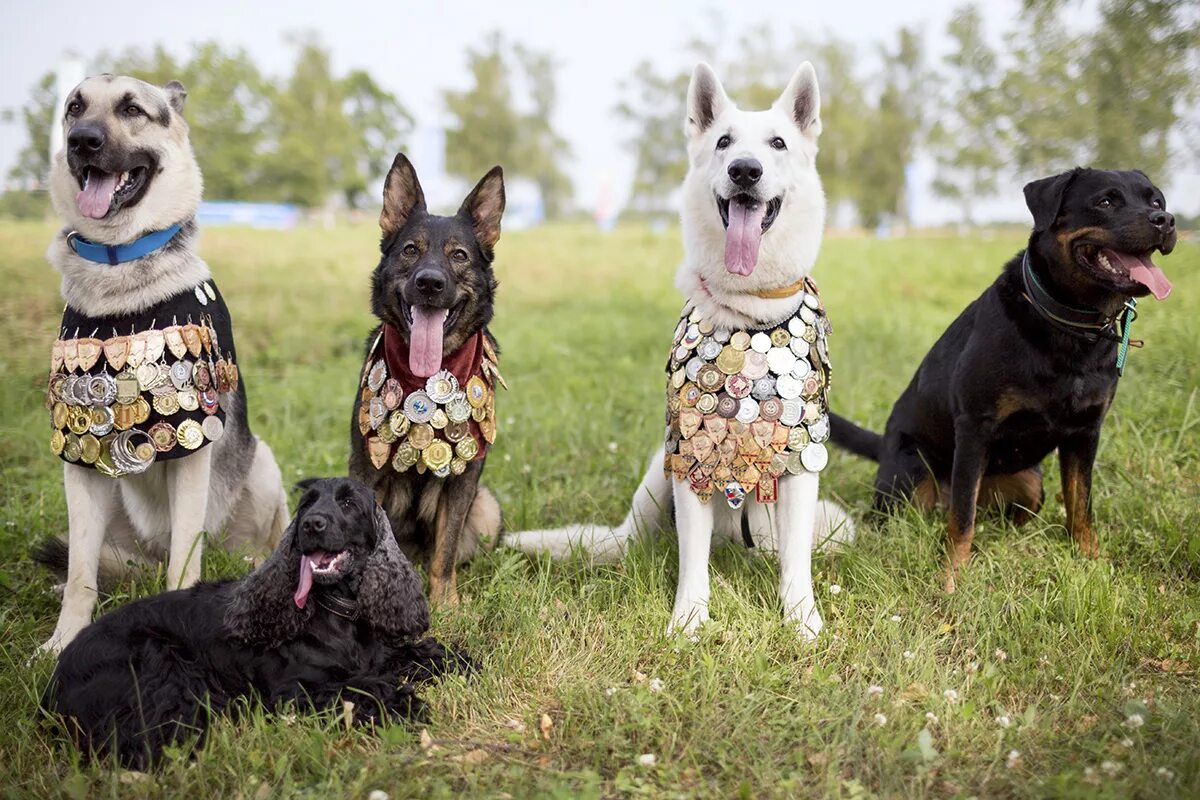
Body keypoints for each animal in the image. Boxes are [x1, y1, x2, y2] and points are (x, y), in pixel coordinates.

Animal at [38, 73, 286, 657]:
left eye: (132, 109)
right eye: (74, 107)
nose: (81, 141)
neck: (118, 263)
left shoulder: (192, 449)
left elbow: (184, 565)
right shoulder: (78, 460)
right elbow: (80, 573)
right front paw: (63, 643)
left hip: (261, 465)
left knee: (233, 548)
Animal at [41, 479, 463, 767]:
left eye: (348, 502)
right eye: (307, 503)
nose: (311, 524)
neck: (338, 613)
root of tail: (53, 683)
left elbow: (419, 654)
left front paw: (455, 662)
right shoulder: (294, 689)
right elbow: (361, 687)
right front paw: (403, 701)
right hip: (160, 661)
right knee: (140, 742)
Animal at [506, 61, 854, 638]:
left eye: (778, 143)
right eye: (724, 142)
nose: (744, 170)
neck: (747, 316)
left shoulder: (802, 462)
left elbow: (797, 563)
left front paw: (801, 620)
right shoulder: (692, 457)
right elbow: (693, 559)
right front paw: (689, 623)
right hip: (656, 479)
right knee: (642, 545)